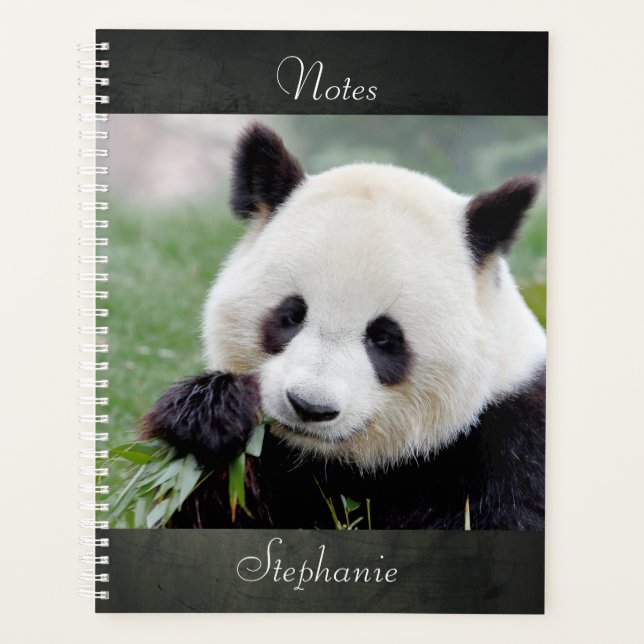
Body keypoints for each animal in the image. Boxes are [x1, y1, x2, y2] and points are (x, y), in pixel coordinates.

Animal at [142, 123, 546, 530]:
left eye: (383, 337)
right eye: (291, 315)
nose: (310, 406)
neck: (334, 460)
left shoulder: (508, 445)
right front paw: (211, 415)